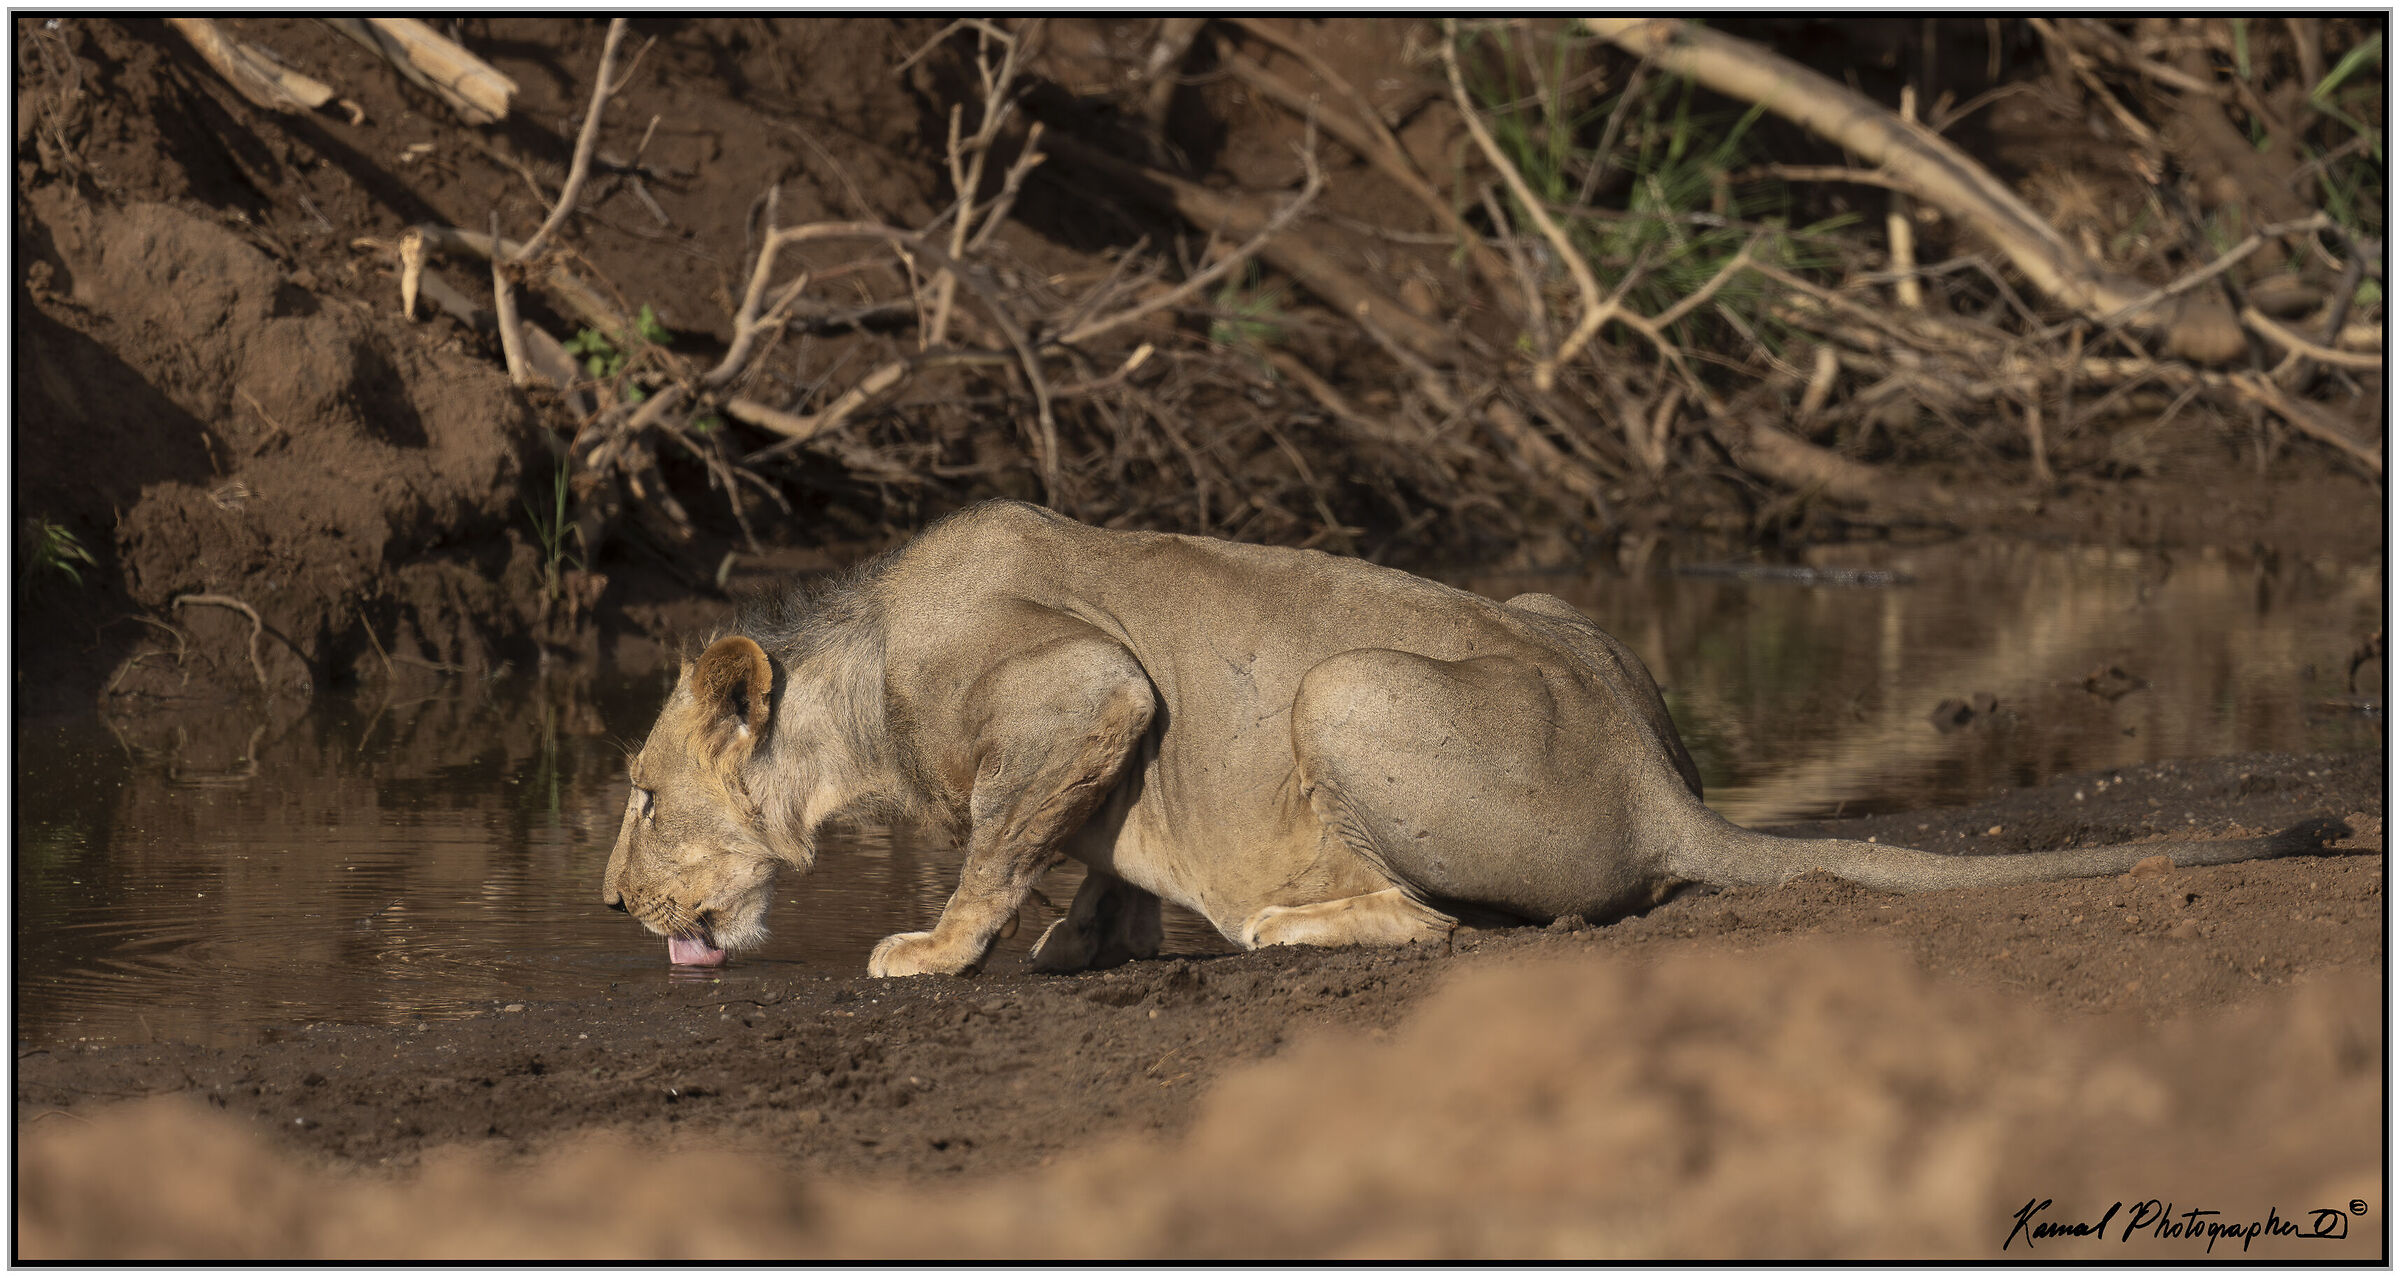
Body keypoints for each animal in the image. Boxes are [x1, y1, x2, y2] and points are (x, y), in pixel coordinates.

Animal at [601, 500, 2341, 977]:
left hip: (1344, 691)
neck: (856, 680)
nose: (612, 907)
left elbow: (995, 836)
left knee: (1452, 919)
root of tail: (1665, 787)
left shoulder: (1079, 684)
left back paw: (1287, 921)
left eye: (636, 796)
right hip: (1540, 611)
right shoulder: (1100, 736)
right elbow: (1081, 851)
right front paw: (1079, 945)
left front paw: (939, 947)